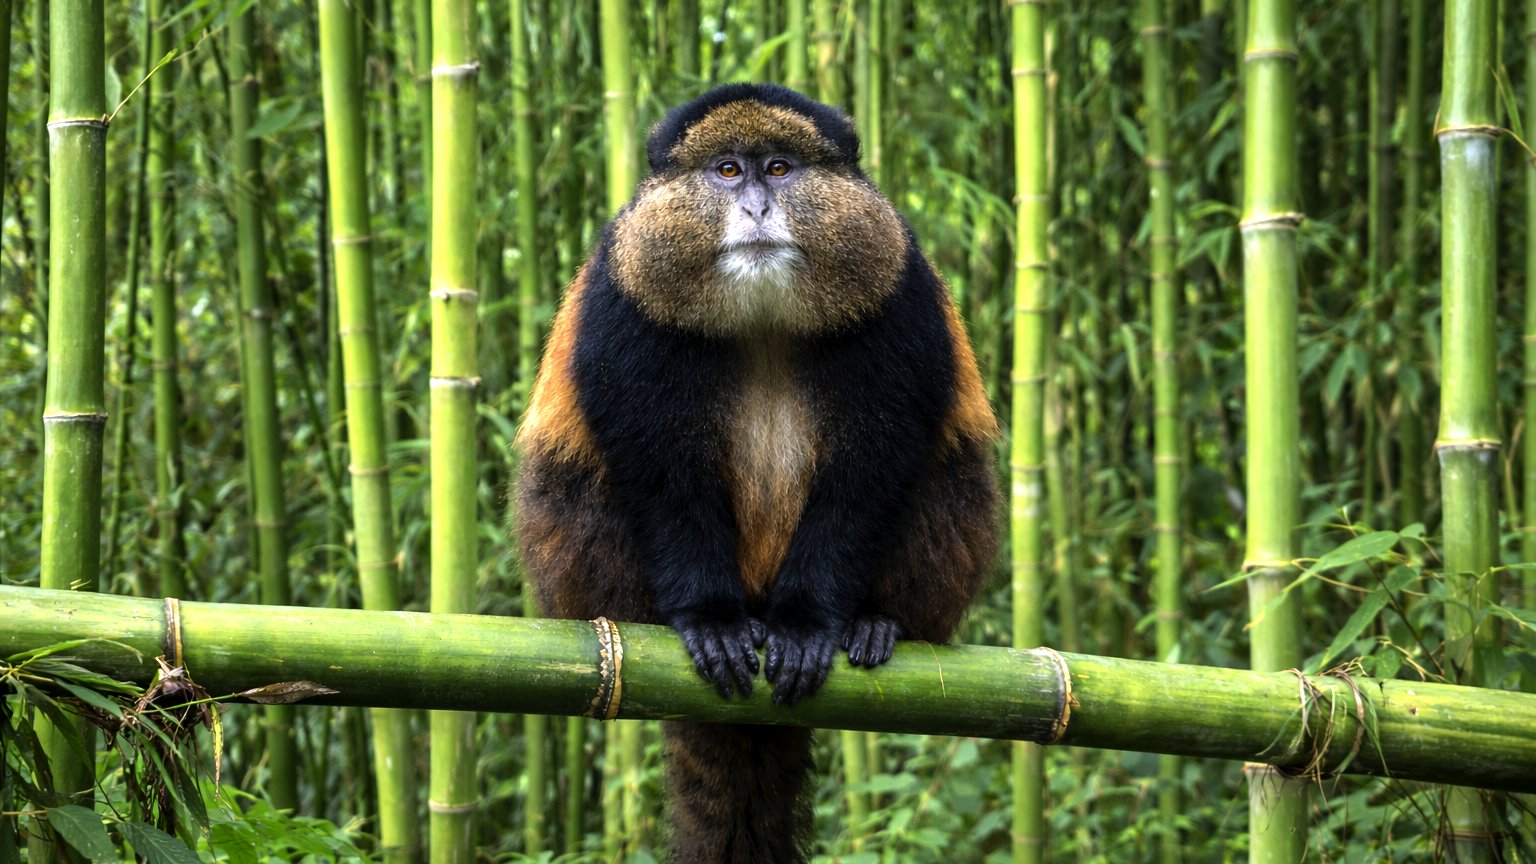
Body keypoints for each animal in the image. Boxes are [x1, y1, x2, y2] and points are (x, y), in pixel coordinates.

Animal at [514, 83, 999, 864]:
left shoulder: (900, 293)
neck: (763, 319)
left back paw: (876, 623)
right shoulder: (625, 300)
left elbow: (873, 467)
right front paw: (708, 621)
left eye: (778, 167)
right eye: (726, 171)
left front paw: (809, 624)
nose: (756, 207)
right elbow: (660, 470)